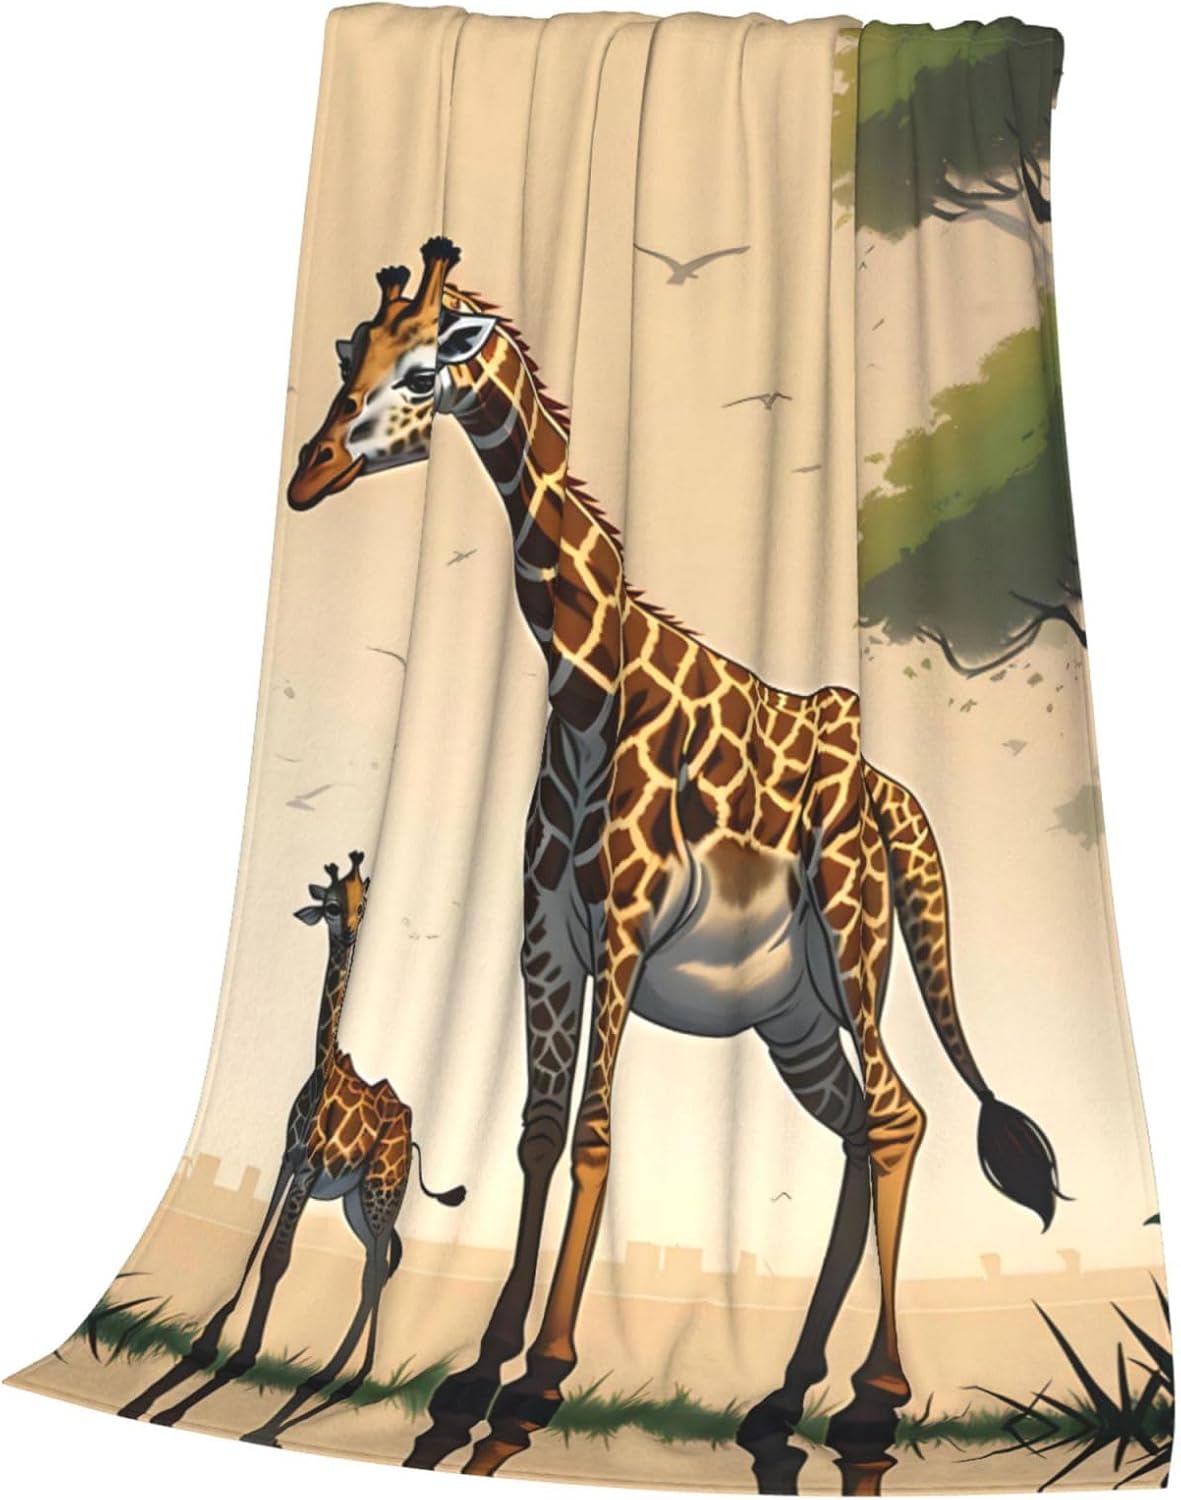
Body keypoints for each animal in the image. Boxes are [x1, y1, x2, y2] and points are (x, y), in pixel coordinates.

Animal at [117, 849, 465, 1444]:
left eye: (363, 904)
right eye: (331, 905)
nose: (349, 934)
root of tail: (412, 1134)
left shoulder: (309, 1172)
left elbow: (279, 1260)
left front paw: (233, 1365)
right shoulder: (287, 1162)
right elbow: (258, 1246)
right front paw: (201, 1350)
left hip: (378, 1193)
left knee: (376, 1268)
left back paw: (335, 1384)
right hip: (359, 1204)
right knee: (381, 1263)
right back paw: (335, 1378)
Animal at [287, 238, 1064, 1478]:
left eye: (419, 372)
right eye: (344, 355)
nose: (307, 477)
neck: (584, 686)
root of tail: (895, 800)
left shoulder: (622, 930)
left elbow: (595, 1135)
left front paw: (535, 1385)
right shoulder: (542, 944)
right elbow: (537, 1135)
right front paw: (470, 1379)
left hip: (856, 949)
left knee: (898, 1116)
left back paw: (871, 1402)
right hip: (792, 1013)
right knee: (865, 1126)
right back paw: (783, 1402)